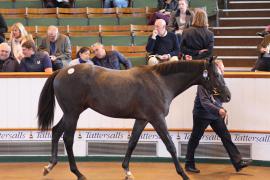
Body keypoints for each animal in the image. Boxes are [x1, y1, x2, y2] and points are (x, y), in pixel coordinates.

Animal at [37, 59, 230, 180]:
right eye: (217, 75)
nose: (227, 96)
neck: (160, 83)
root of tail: (62, 71)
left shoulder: (142, 119)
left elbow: (132, 143)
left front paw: (127, 171)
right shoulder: (157, 119)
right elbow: (171, 146)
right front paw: (183, 174)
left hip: (71, 113)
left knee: (56, 131)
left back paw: (49, 166)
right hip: (73, 113)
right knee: (68, 139)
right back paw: (78, 173)